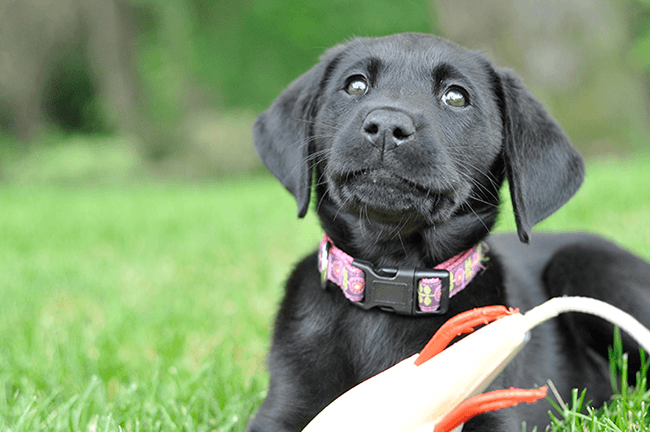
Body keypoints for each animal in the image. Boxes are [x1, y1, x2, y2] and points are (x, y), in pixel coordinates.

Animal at [246, 34, 648, 432]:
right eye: (355, 85)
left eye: (455, 97)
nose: (387, 126)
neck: (390, 279)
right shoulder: (280, 411)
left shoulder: (494, 413)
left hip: (585, 264)